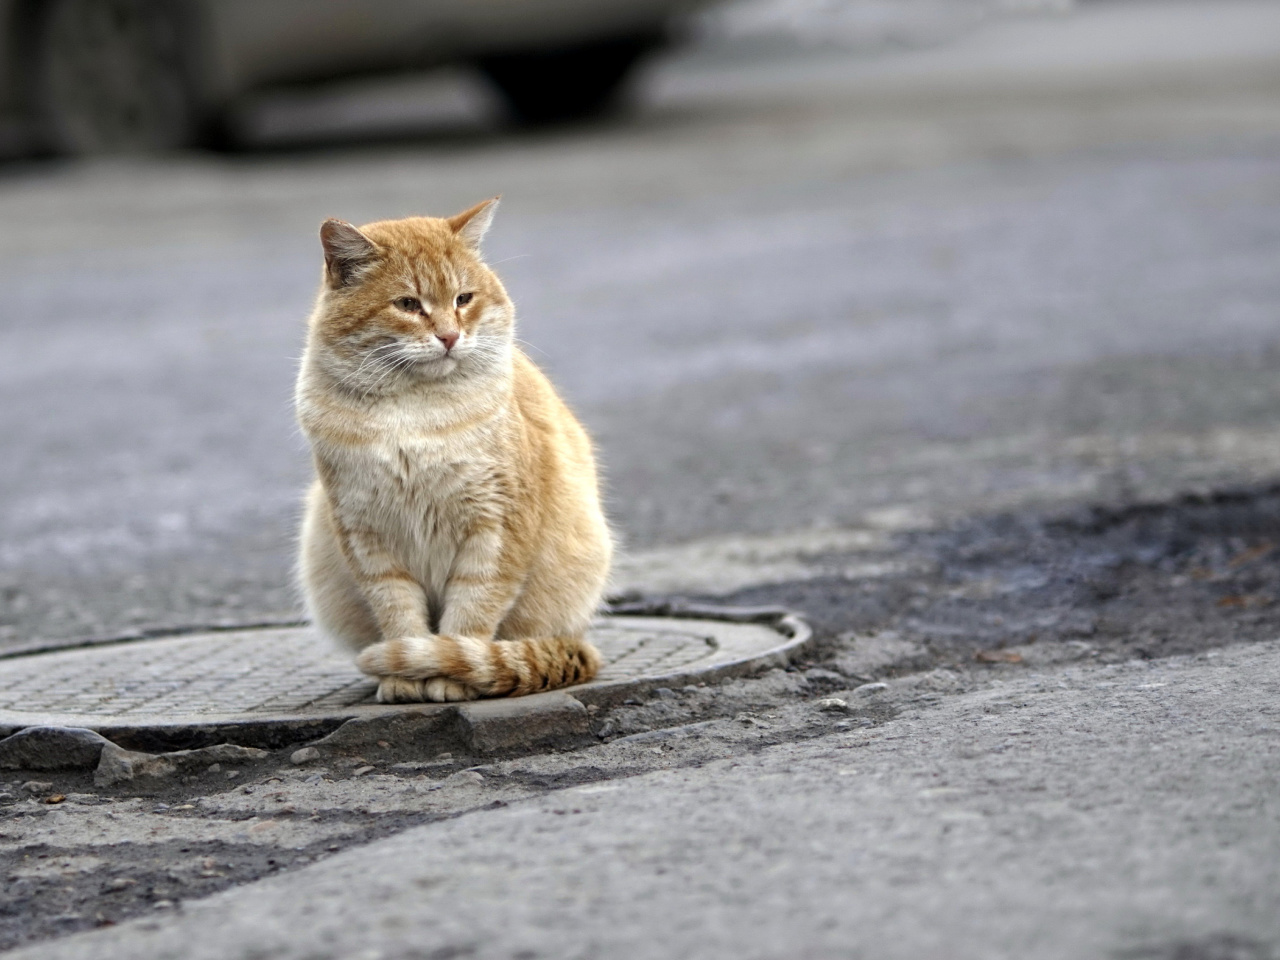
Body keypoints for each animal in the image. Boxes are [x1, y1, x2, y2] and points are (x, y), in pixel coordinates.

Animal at [293, 199, 609, 701]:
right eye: (407, 304)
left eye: (463, 299)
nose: (449, 336)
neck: (413, 413)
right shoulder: (367, 537)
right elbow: (399, 614)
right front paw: (404, 678)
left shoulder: (496, 528)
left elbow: (470, 614)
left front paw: (446, 675)